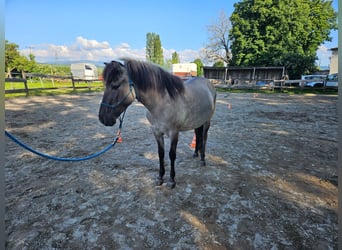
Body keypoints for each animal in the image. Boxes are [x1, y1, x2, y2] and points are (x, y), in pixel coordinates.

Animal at [99, 59, 216, 188]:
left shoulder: (174, 133)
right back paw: (196, 153)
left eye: (116, 86)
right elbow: (161, 154)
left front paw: (172, 180)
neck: (162, 102)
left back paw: (202, 159)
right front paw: (160, 177)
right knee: (198, 135)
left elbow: (172, 155)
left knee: (204, 138)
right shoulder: (157, 132)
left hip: (207, 121)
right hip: (197, 121)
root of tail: (208, 83)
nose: (102, 118)